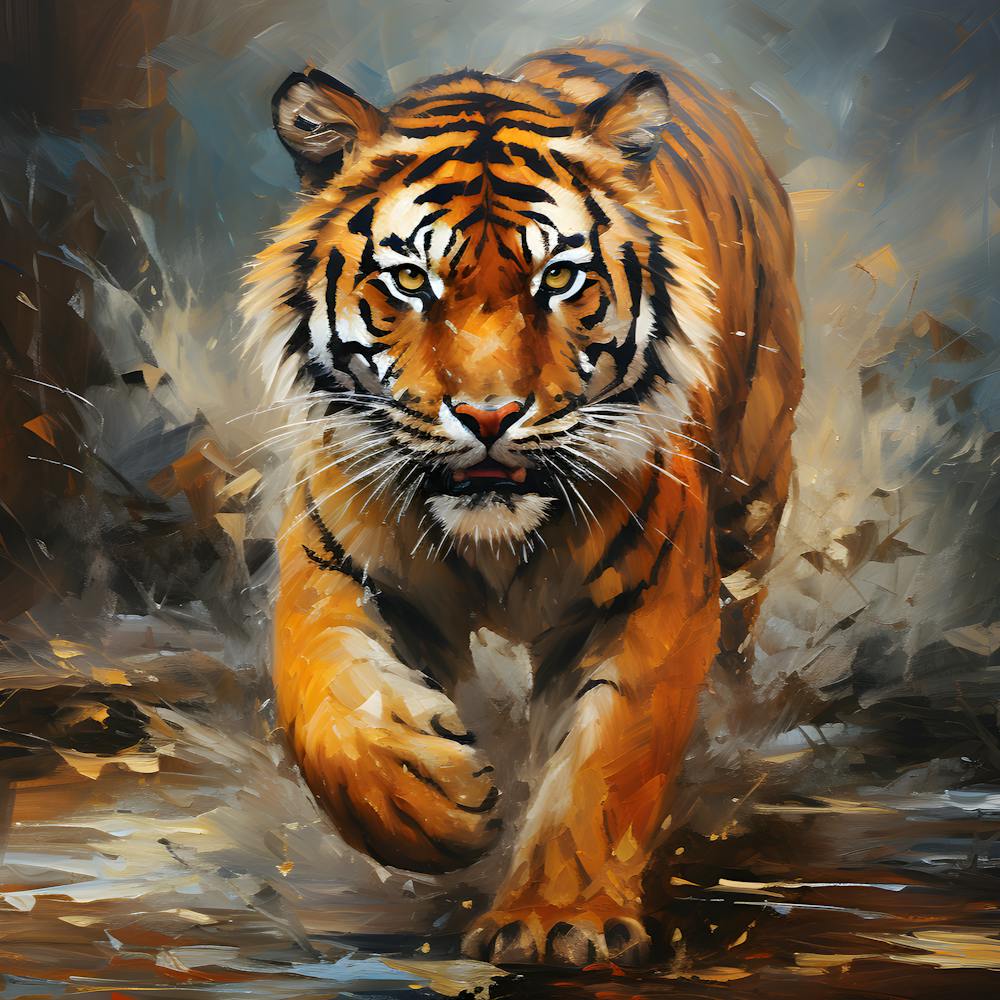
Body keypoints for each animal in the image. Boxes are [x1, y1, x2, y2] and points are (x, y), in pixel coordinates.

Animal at [242, 44, 802, 967]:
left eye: (560, 279)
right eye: (411, 280)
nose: (489, 415)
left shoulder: (651, 598)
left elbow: (606, 763)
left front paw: (558, 920)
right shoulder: (335, 567)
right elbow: (326, 710)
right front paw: (434, 803)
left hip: (752, 497)